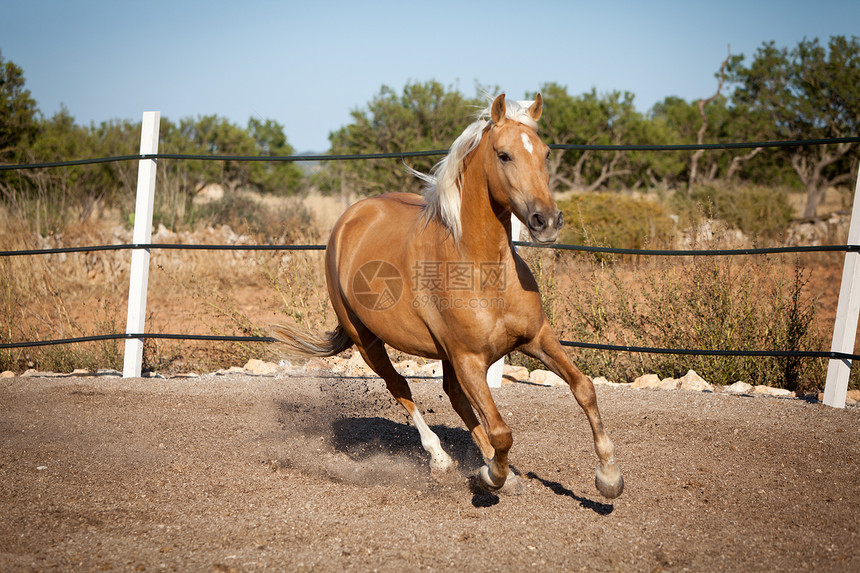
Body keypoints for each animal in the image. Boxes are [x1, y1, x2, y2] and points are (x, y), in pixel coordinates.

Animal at [276, 94, 624, 496]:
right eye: (503, 155)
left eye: (546, 153)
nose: (547, 221)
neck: (481, 268)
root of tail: (350, 218)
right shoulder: (469, 359)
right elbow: (501, 431)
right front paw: (494, 476)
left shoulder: (537, 337)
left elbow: (584, 388)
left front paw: (609, 476)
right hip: (367, 341)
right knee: (401, 387)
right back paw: (441, 459)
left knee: (455, 397)